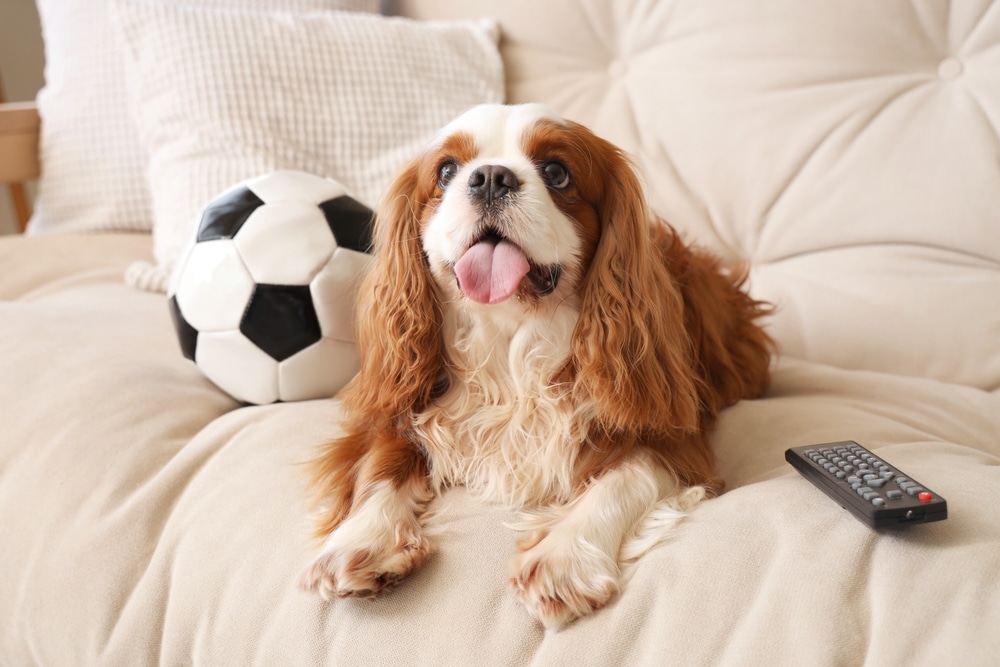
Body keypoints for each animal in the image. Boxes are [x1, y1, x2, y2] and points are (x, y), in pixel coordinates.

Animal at [298, 102, 772, 628]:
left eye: (556, 172)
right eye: (446, 171)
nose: (490, 177)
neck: (510, 340)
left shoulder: (674, 436)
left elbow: (623, 478)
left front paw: (564, 557)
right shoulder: (398, 409)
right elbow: (380, 467)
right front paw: (361, 540)